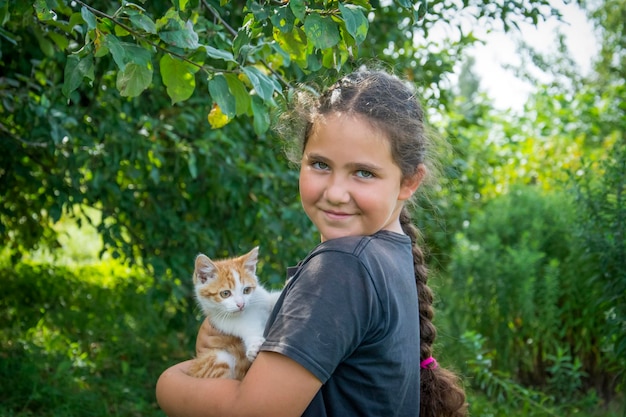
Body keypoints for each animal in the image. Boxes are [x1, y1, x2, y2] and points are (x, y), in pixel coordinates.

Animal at [186, 247, 280, 380]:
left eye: (246, 290)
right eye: (225, 293)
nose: (241, 304)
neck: (249, 310)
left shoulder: (262, 299)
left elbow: (273, 299)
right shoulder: (223, 322)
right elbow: (246, 327)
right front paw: (254, 344)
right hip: (219, 358)